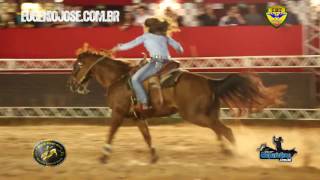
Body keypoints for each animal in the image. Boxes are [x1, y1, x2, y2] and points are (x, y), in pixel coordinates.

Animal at [68, 43, 288, 163]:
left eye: (77, 65)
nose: (71, 85)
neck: (118, 78)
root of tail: (210, 82)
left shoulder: (118, 112)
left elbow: (111, 132)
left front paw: (103, 156)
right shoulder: (138, 117)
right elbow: (147, 137)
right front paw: (154, 157)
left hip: (195, 115)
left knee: (226, 131)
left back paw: (235, 153)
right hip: (208, 114)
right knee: (219, 130)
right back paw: (227, 151)